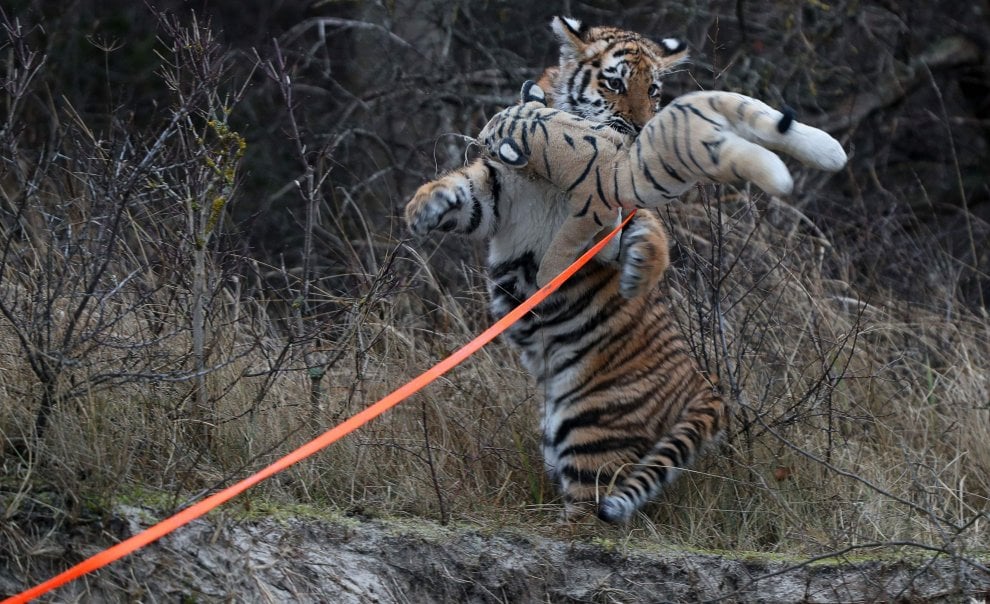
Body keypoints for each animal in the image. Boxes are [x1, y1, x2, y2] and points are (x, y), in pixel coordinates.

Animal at [405, 16, 725, 523]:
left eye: (653, 90)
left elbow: (645, 230)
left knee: (592, 516)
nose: (641, 129)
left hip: (591, 426)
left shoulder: (610, 214)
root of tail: (704, 386)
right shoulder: (499, 195)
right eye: (615, 83)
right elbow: (465, 191)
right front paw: (424, 207)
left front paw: (641, 266)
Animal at [479, 80, 849, 287]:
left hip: (713, 154)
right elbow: (610, 235)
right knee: (779, 128)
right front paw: (611, 252)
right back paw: (832, 152)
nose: (477, 140)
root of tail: (694, 106)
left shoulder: (589, 210)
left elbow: (563, 244)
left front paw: (545, 282)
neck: (543, 125)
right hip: (745, 107)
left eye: (487, 139)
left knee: (753, 154)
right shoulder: (609, 211)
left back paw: (782, 178)